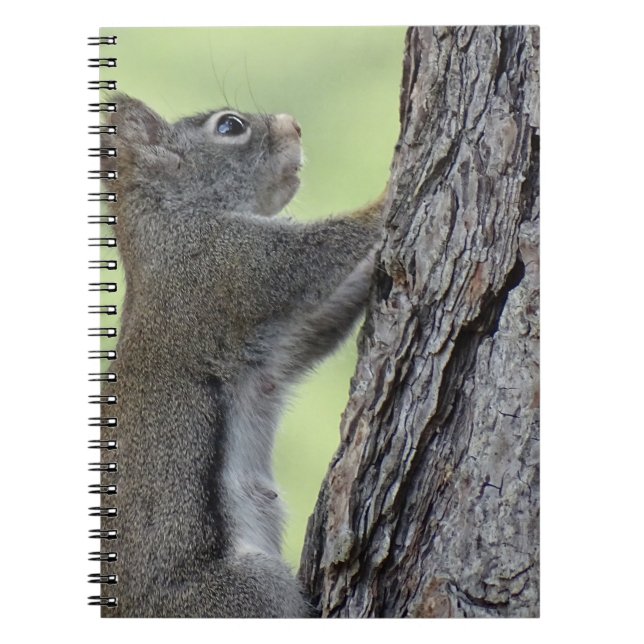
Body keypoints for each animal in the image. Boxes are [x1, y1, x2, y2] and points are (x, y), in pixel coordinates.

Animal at [99, 94, 384, 617]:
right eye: (229, 127)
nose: (294, 125)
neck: (167, 220)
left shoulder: (275, 348)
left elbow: (317, 326)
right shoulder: (227, 267)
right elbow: (311, 255)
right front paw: (393, 192)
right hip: (245, 591)